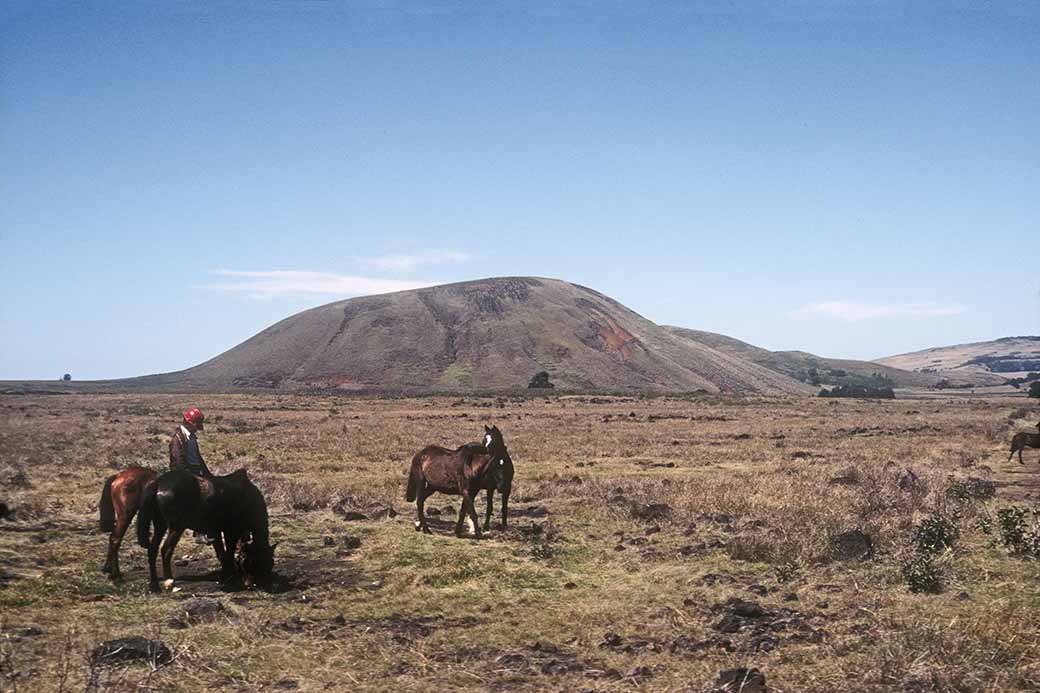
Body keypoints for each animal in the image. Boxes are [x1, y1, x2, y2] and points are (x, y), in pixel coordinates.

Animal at [138, 466, 276, 591]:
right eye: (263, 561)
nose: (263, 583)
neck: (248, 498)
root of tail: (159, 482)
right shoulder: (231, 532)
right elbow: (228, 554)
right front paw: (231, 579)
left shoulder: (215, 532)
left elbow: (222, 554)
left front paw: (226, 577)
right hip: (177, 527)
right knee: (166, 550)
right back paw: (169, 582)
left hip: (160, 526)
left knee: (152, 550)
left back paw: (154, 585)